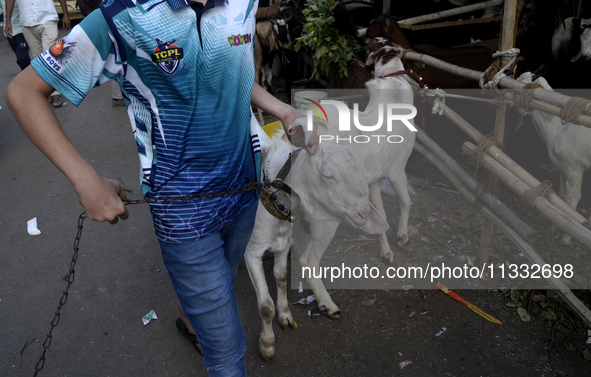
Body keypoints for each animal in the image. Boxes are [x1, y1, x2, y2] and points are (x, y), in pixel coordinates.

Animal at [516, 71, 591, 241]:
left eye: (520, 81)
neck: (557, 126)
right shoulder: (564, 168)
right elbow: (562, 199)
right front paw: (555, 227)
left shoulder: (575, 168)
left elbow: (572, 201)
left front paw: (566, 238)